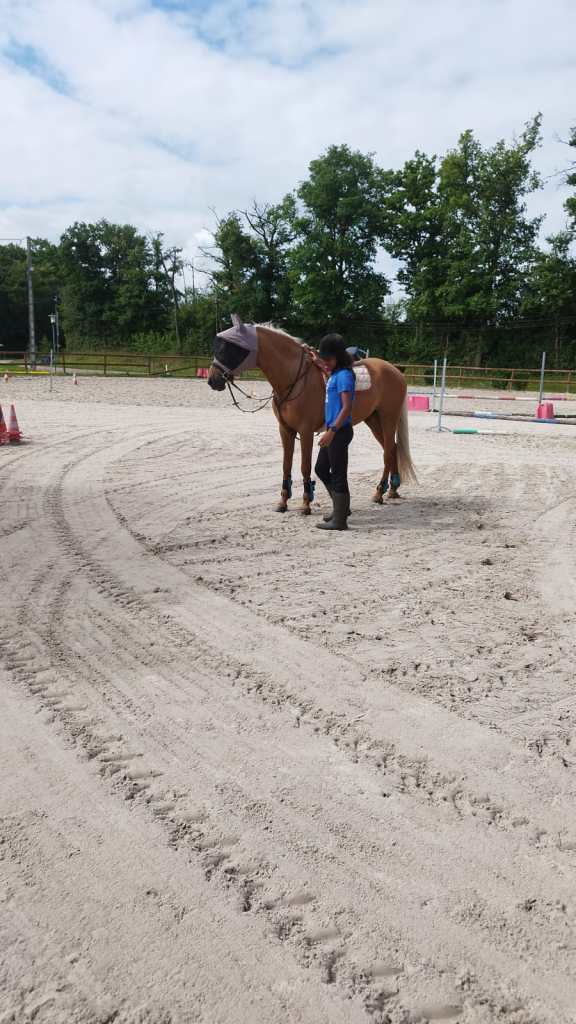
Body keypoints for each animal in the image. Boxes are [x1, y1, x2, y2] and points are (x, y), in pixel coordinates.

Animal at [207, 318, 416, 515]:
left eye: (229, 348)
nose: (212, 380)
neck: (294, 379)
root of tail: (395, 371)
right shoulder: (286, 431)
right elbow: (286, 465)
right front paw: (283, 502)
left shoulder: (305, 431)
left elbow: (304, 466)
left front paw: (306, 504)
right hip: (373, 420)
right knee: (392, 449)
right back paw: (392, 489)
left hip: (388, 419)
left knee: (388, 451)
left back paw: (379, 492)